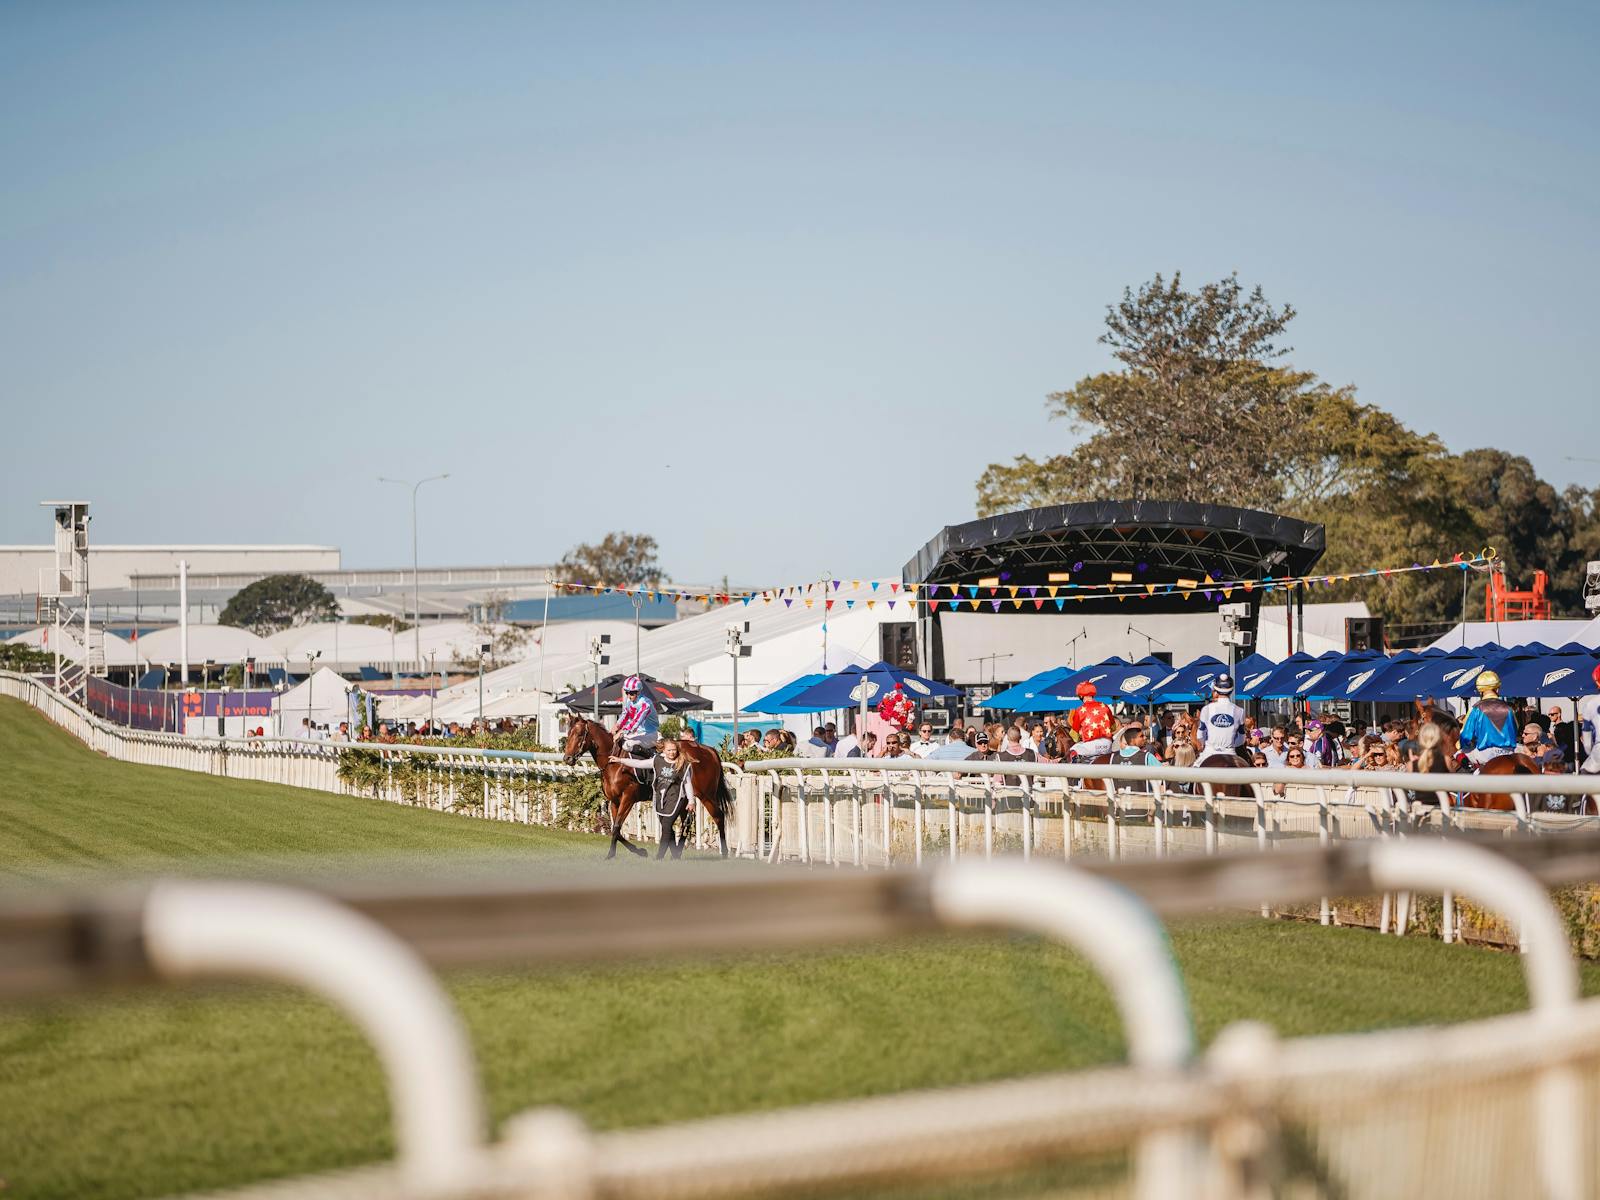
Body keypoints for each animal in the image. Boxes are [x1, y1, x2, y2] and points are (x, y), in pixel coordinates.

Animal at [563, 720, 736, 857]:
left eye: (579, 734)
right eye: (568, 733)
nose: (567, 758)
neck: (614, 764)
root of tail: (709, 750)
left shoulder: (628, 798)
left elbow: (617, 827)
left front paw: (620, 853)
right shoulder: (614, 801)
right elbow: (615, 829)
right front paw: (633, 851)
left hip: (707, 795)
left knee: (719, 816)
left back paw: (724, 852)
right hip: (685, 796)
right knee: (686, 821)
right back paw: (677, 851)